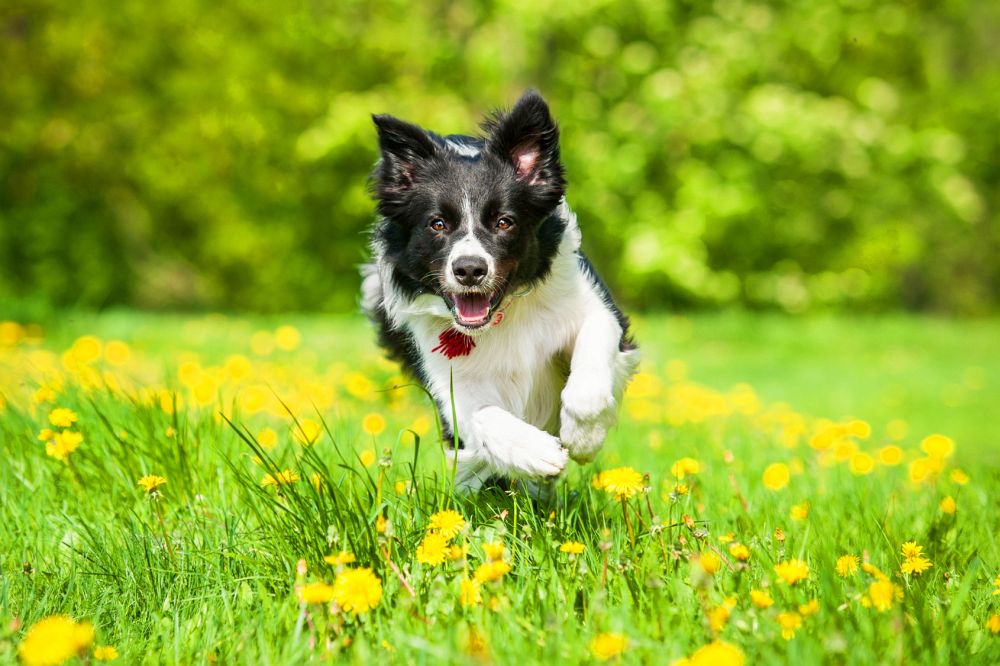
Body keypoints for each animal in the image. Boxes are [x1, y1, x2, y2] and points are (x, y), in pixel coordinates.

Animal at [364, 91, 636, 490]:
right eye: (437, 224)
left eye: (504, 222)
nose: (469, 270)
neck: (501, 317)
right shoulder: (446, 374)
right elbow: (480, 414)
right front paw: (536, 452)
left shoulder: (596, 310)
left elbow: (590, 374)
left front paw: (582, 439)